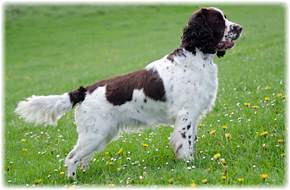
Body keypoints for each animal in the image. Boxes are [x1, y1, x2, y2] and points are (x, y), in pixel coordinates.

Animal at [15, 7, 242, 180]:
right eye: (218, 21)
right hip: (94, 134)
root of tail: (83, 92)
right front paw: (190, 166)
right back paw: (73, 182)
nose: (239, 28)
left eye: (226, 17)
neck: (195, 58)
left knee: (84, 159)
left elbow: (192, 142)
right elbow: (185, 145)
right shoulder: (185, 115)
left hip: (102, 134)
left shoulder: (193, 116)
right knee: (72, 158)